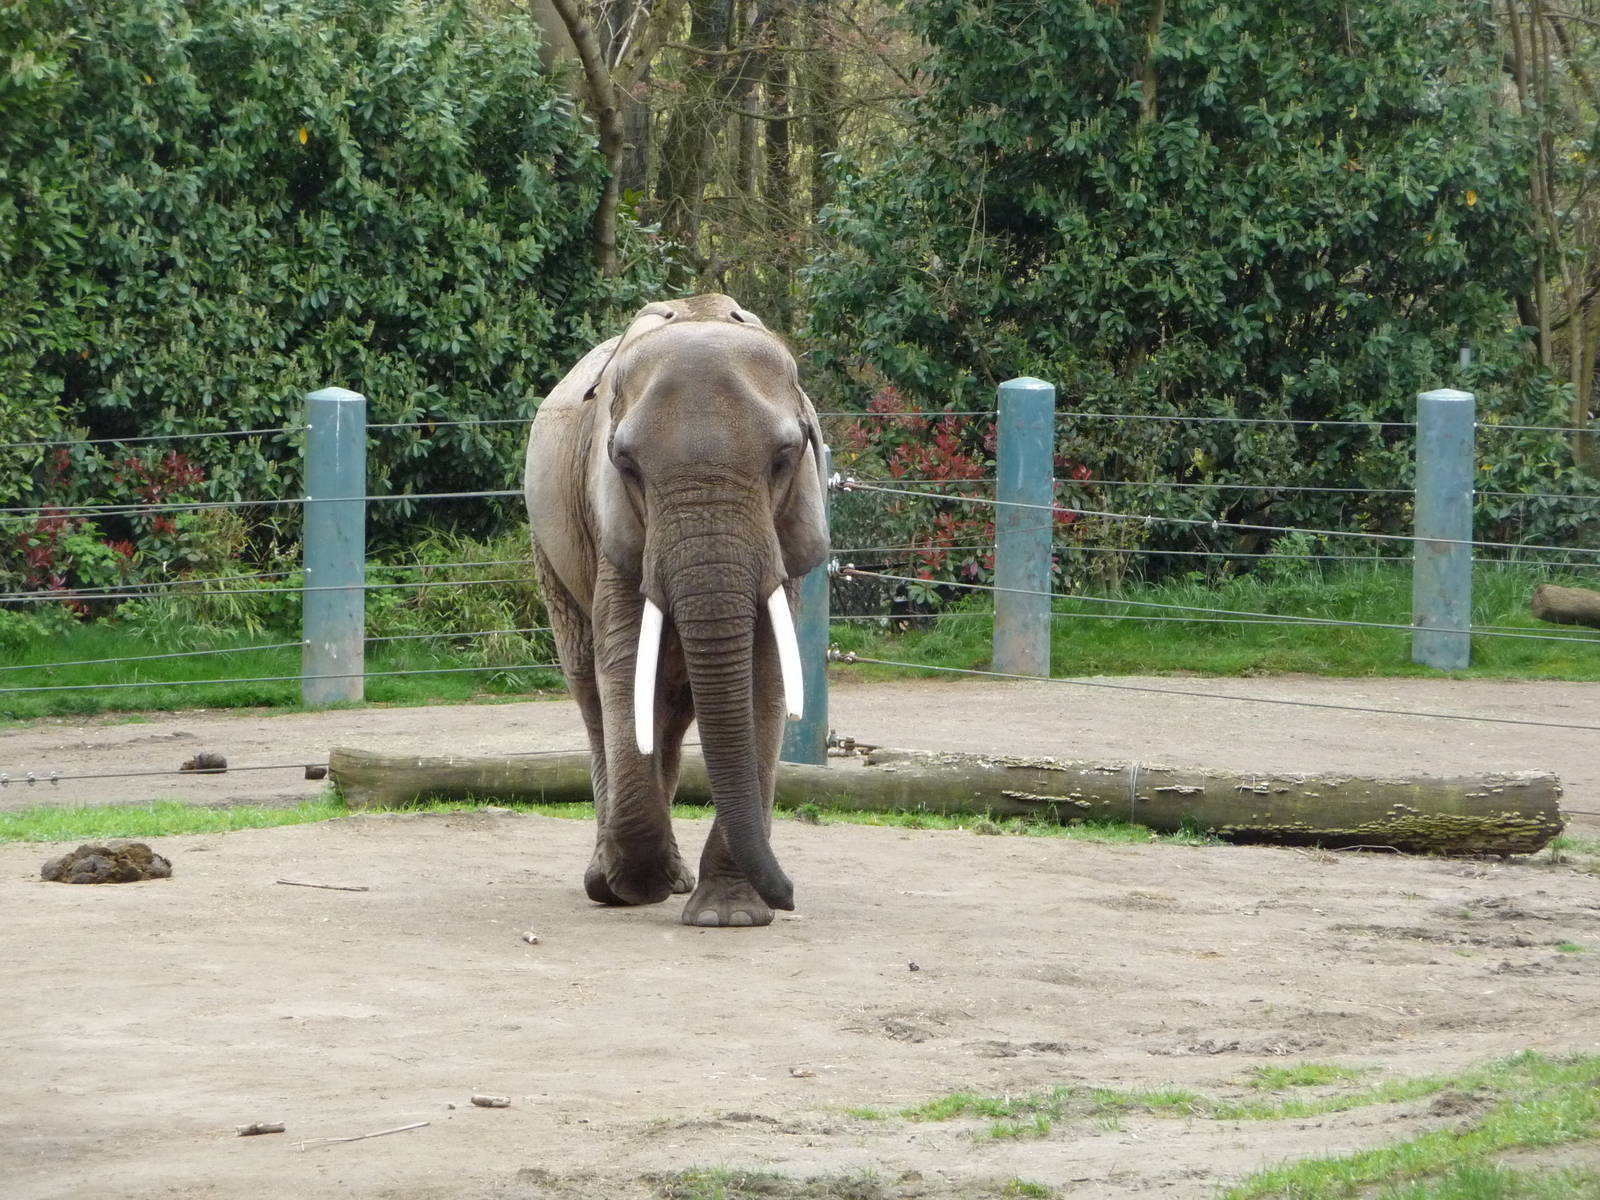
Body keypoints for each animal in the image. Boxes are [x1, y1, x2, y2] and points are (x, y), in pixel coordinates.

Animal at [523, 294, 828, 927]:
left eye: (783, 461)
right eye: (626, 466)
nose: (788, 896)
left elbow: (766, 674)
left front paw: (727, 917)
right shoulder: (611, 523)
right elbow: (623, 661)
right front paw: (639, 886)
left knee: (670, 704)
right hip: (549, 552)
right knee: (596, 691)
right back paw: (617, 881)